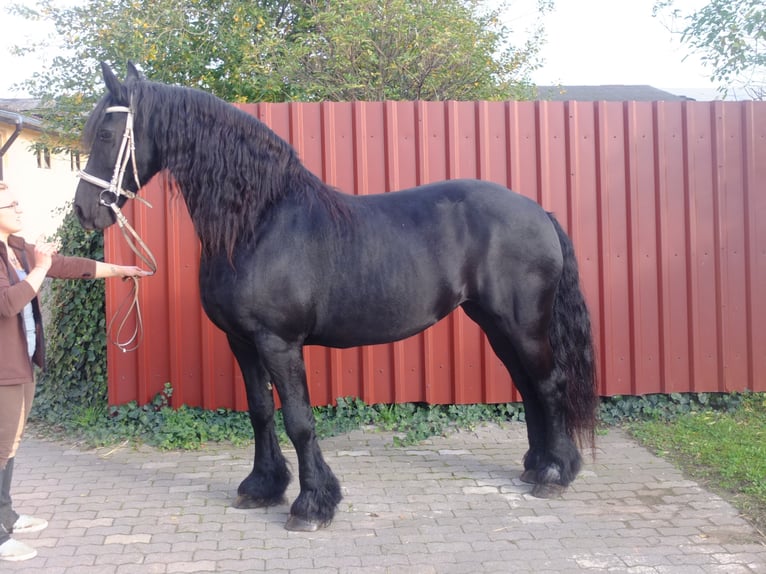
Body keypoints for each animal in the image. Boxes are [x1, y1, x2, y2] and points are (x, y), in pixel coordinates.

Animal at [73, 62, 600, 532]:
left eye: (106, 133)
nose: (84, 211)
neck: (258, 222)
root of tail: (540, 212)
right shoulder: (242, 342)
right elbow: (260, 412)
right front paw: (262, 486)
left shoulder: (279, 344)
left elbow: (299, 420)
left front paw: (312, 504)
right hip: (494, 324)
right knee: (529, 387)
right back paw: (535, 464)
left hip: (522, 324)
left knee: (549, 384)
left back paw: (556, 473)